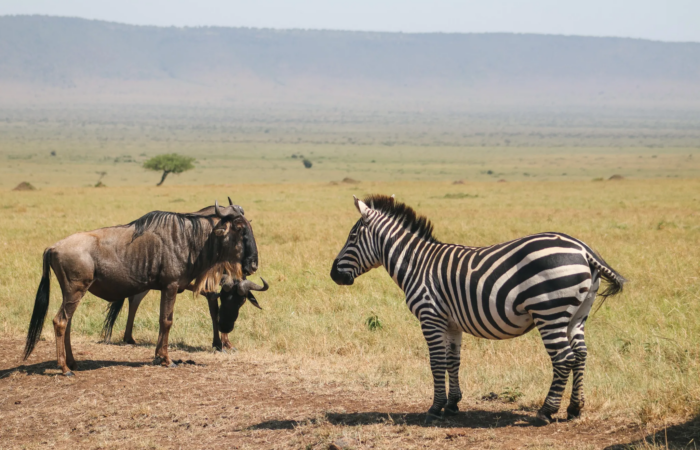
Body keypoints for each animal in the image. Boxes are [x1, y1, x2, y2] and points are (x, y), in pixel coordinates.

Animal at [330, 194, 625, 425]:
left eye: (352, 236)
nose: (333, 274)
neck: (416, 264)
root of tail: (584, 250)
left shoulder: (430, 316)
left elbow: (436, 362)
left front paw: (435, 409)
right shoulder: (451, 323)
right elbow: (453, 361)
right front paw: (452, 404)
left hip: (549, 312)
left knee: (564, 358)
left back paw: (546, 412)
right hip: (577, 315)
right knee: (581, 355)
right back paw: (575, 409)